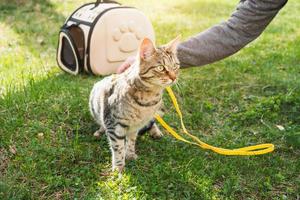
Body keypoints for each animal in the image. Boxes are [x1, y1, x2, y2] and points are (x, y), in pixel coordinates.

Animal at [89, 36, 180, 172]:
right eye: (161, 68)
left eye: (175, 66)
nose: (174, 78)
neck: (148, 100)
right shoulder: (114, 124)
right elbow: (118, 148)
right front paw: (119, 167)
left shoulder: (135, 126)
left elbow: (131, 141)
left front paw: (130, 154)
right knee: (101, 123)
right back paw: (100, 131)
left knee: (152, 122)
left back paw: (155, 132)